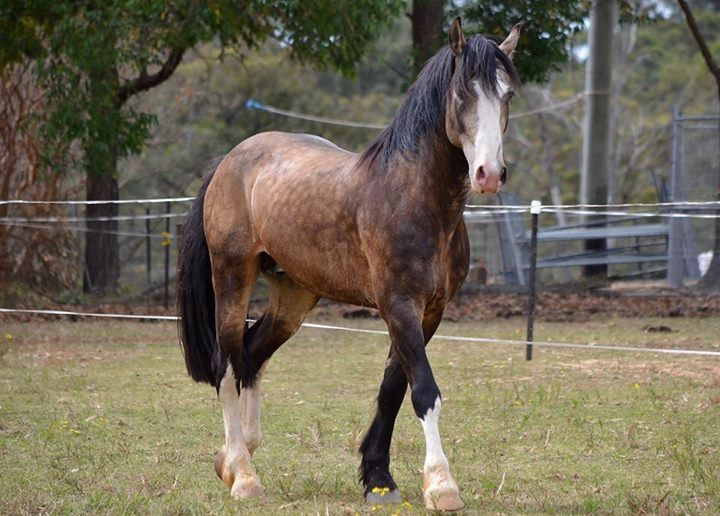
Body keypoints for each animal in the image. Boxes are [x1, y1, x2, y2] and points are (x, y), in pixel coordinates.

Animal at [177, 19, 520, 512]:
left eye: (507, 94)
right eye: (462, 93)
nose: (489, 174)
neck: (411, 197)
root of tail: (229, 161)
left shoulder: (429, 312)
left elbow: (393, 389)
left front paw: (378, 478)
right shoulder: (398, 305)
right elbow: (424, 391)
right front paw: (441, 485)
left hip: (294, 296)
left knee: (252, 356)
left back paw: (232, 457)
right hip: (231, 278)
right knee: (226, 365)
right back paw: (243, 475)